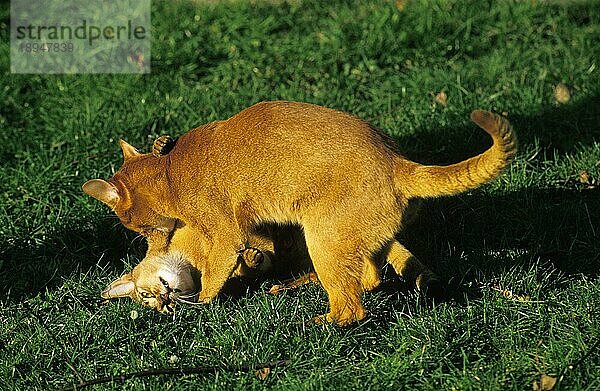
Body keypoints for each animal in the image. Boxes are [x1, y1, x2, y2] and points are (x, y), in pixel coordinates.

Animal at [83, 102, 516, 328]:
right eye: (146, 298)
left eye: (134, 227)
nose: (164, 305)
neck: (171, 169)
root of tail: (398, 163)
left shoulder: (225, 234)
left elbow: (214, 277)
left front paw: (203, 303)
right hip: (353, 237)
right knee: (371, 278)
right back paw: (293, 287)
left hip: (322, 239)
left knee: (353, 307)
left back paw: (317, 319)